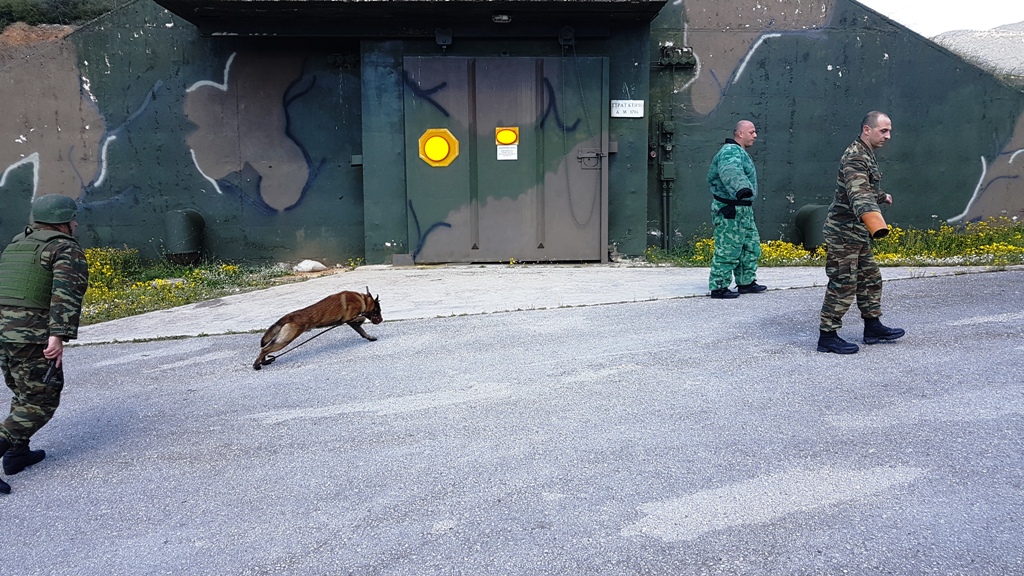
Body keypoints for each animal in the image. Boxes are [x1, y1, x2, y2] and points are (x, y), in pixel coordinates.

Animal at [253, 284, 382, 368]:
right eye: (378, 311)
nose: (381, 320)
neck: (363, 299)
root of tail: (290, 316)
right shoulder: (349, 318)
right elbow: (361, 318)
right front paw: (363, 321)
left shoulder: (351, 322)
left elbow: (361, 331)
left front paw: (369, 337)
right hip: (285, 340)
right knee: (265, 349)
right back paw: (256, 365)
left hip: (281, 338)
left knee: (265, 348)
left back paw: (263, 361)